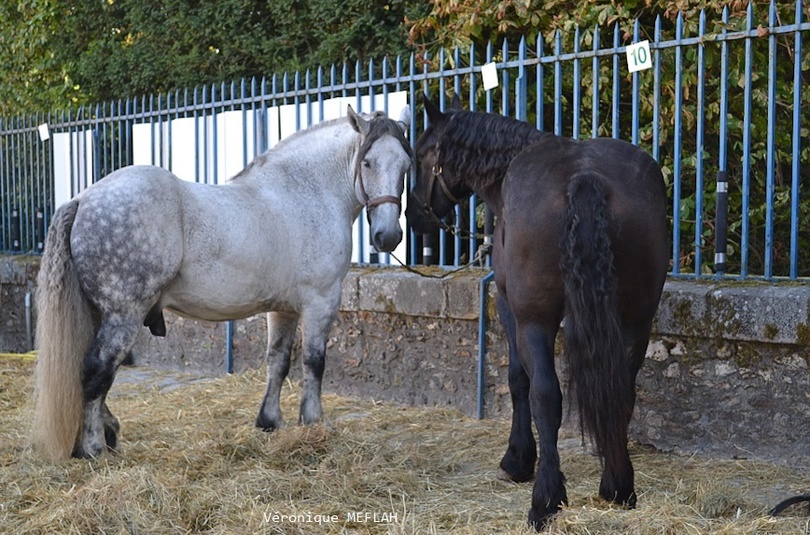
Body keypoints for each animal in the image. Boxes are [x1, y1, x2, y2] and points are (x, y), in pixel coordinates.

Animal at [31, 105, 410, 460]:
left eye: (406, 165)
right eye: (368, 163)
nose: (388, 236)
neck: (305, 193)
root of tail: (82, 199)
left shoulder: (284, 310)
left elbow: (278, 361)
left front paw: (269, 421)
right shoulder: (321, 302)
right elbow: (314, 362)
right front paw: (313, 422)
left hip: (100, 314)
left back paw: (107, 433)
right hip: (123, 316)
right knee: (96, 371)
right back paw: (93, 447)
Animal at [408, 95, 664, 528]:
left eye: (423, 153)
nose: (413, 215)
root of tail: (584, 177)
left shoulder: (509, 306)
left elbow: (518, 379)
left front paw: (517, 460)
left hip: (536, 320)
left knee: (546, 393)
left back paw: (545, 498)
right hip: (636, 320)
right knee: (622, 388)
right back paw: (617, 485)